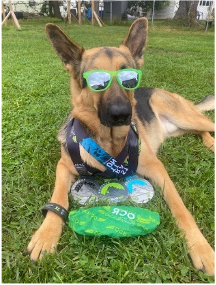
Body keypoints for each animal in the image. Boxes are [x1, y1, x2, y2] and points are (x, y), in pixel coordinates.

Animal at [27, 17, 214, 276]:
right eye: (96, 81)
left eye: (129, 77)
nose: (122, 115)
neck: (109, 143)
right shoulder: (63, 165)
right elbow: (58, 198)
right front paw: (46, 235)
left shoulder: (156, 168)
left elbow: (180, 208)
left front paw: (201, 247)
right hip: (179, 128)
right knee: (200, 130)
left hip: (185, 117)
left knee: (207, 124)